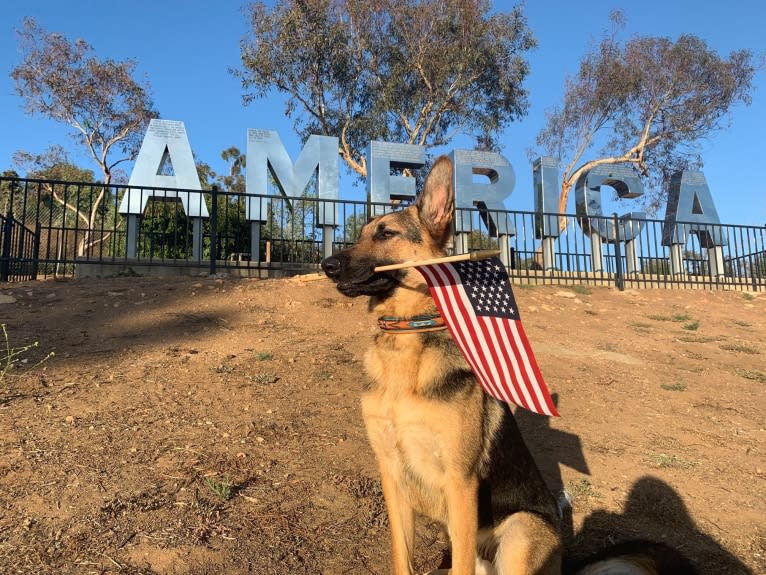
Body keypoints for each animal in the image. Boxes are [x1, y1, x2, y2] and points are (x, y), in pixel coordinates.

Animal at [320, 155, 700, 572]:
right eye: (361, 234)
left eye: (386, 234)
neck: (408, 336)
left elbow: (460, 560)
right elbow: (401, 557)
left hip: (519, 531)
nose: (327, 264)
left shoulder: (460, 481)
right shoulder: (392, 475)